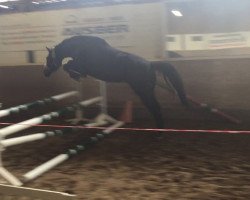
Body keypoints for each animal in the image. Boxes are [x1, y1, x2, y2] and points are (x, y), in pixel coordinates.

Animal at [44, 35, 188, 129]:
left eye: (48, 58)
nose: (45, 73)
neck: (82, 47)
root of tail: (150, 65)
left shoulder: (81, 65)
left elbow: (67, 66)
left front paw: (76, 76)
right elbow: (68, 66)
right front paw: (77, 76)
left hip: (143, 92)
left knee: (155, 108)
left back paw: (159, 132)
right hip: (146, 92)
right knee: (155, 108)